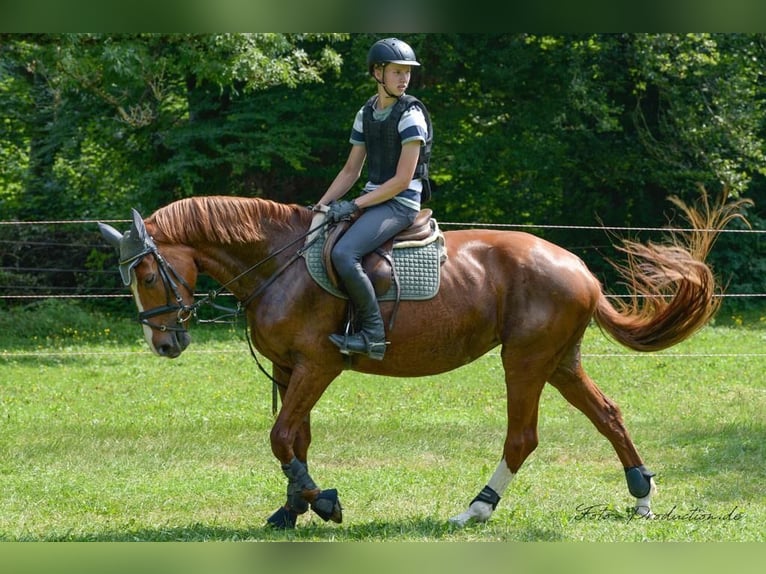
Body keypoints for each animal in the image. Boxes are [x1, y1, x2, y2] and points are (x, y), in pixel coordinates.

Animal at [97, 190, 752, 532]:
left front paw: (324, 503)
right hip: (560, 362)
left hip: (525, 360)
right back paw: (641, 496)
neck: (279, 262)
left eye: (148, 275)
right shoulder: (289, 369)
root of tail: (580, 269)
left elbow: (281, 436)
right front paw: (293, 507)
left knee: (523, 437)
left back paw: (476, 508)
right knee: (609, 414)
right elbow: (296, 439)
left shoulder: (319, 366)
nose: (164, 345)